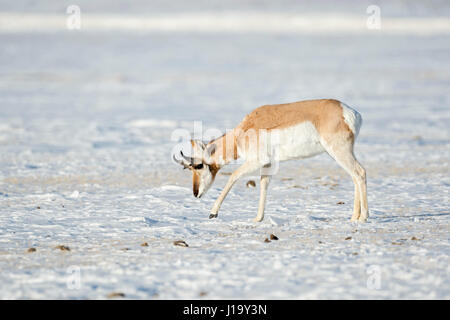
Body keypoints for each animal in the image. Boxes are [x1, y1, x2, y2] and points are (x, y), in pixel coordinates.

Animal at [174, 99, 368, 221]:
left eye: (199, 166)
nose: (195, 193)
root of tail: (350, 112)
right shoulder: (269, 164)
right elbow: (263, 184)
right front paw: (257, 218)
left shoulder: (255, 162)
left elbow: (233, 176)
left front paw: (213, 213)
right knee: (355, 176)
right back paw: (354, 217)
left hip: (339, 152)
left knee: (360, 172)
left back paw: (363, 217)